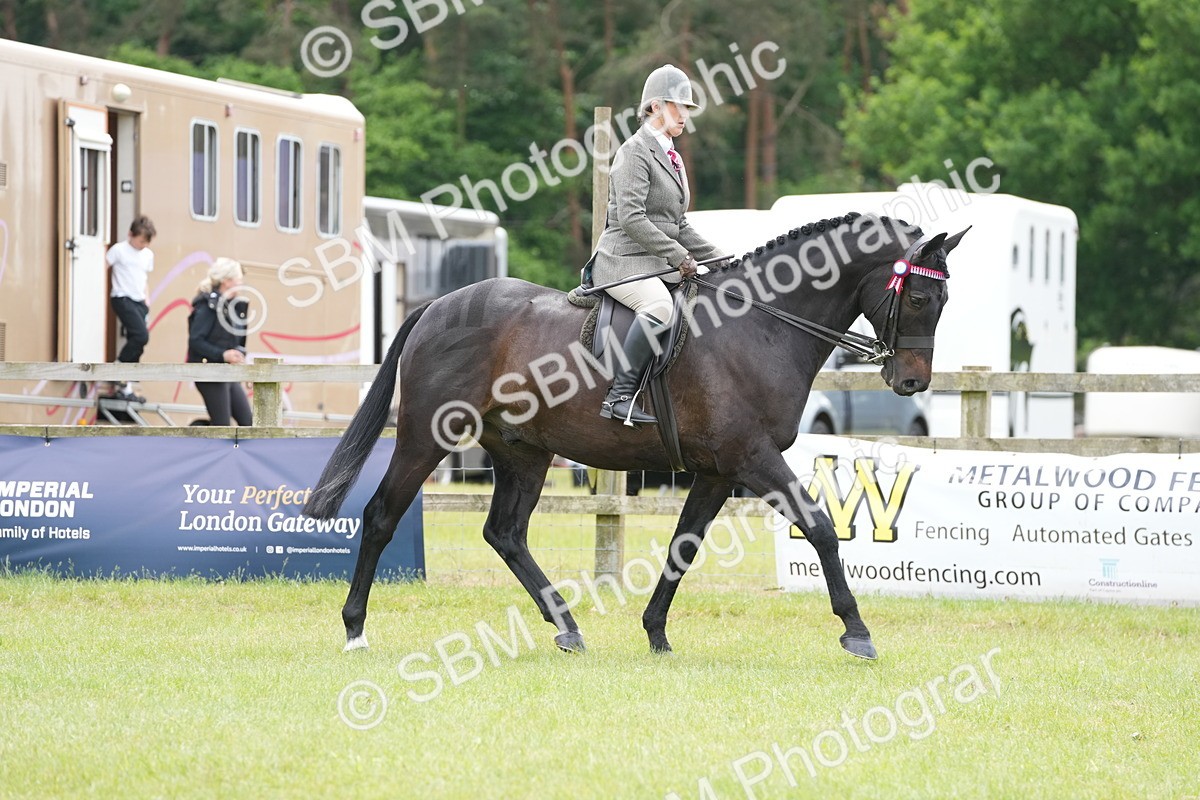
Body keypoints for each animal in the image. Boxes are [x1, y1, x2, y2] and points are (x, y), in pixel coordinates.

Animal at [304, 212, 969, 660]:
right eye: (918, 295)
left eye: (944, 298)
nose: (912, 381)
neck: (759, 326)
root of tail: (437, 306)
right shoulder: (752, 459)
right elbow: (822, 527)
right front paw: (857, 631)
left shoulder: (718, 472)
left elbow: (683, 546)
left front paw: (656, 632)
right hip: (427, 439)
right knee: (382, 516)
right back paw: (355, 628)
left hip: (523, 451)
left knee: (506, 533)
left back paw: (568, 627)